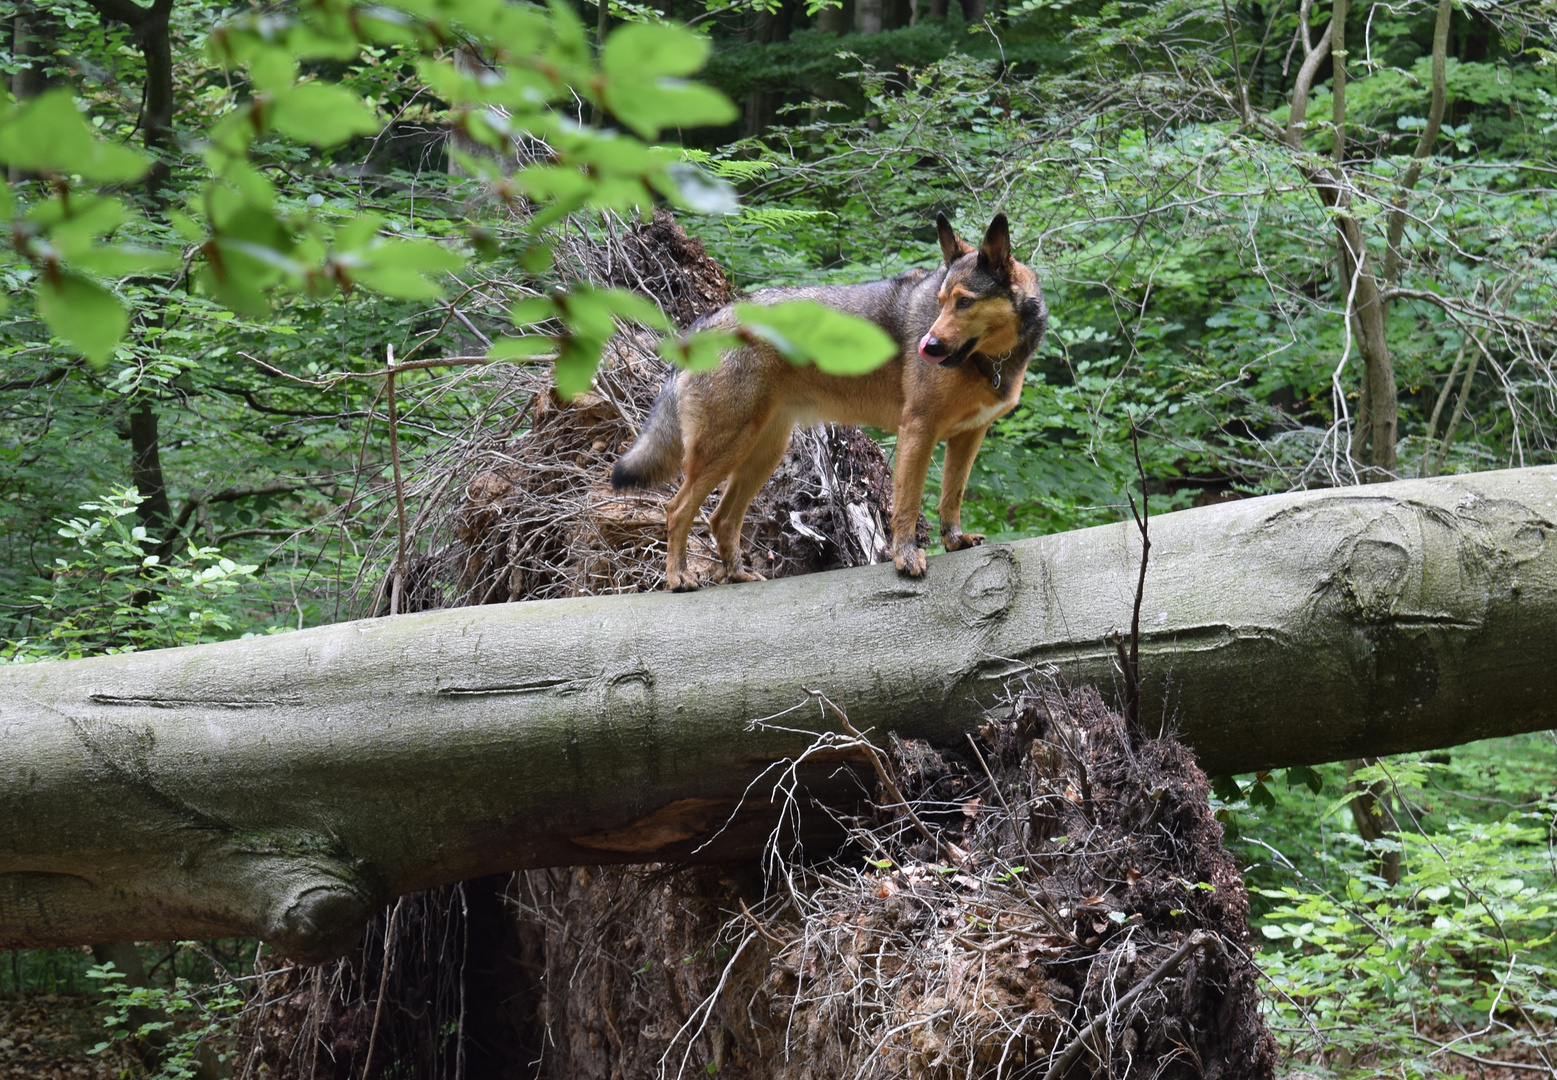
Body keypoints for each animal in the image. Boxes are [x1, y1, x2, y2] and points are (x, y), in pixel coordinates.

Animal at [607, 210, 1046, 591]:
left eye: (964, 301)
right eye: (940, 302)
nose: (928, 346)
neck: (991, 361)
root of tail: (703, 325)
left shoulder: (967, 438)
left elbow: (951, 497)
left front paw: (954, 540)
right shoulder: (918, 430)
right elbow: (907, 504)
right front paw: (906, 557)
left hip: (759, 454)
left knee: (720, 519)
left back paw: (737, 574)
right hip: (724, 450)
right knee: (677, 510)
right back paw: (678, 578)